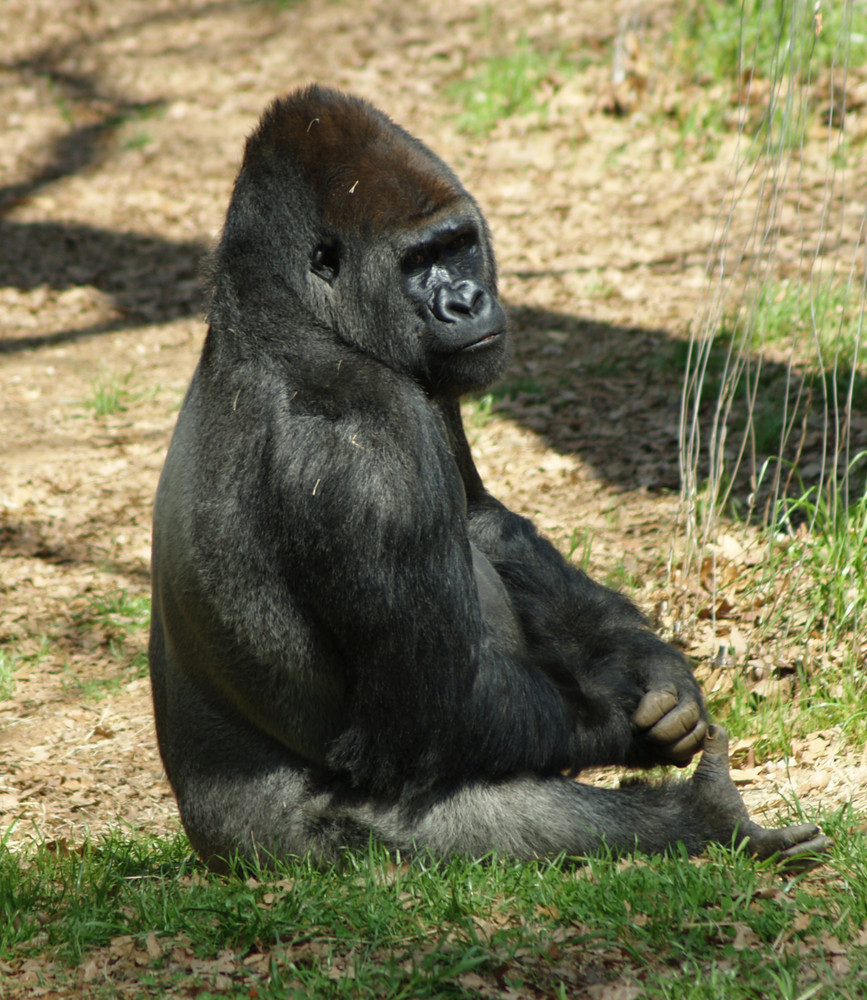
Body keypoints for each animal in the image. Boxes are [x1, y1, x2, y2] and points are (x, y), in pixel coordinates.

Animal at [147, 84, 828, 868]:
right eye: (418, 261)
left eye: (458, 245)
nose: (465, 301)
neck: (281, 313)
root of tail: (201, 830)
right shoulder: (366, 436)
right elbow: (443, 712)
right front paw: (623, 711)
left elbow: (480, 517)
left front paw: (650, 662)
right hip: (291, 852)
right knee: (493, 810)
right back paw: (703, 818)